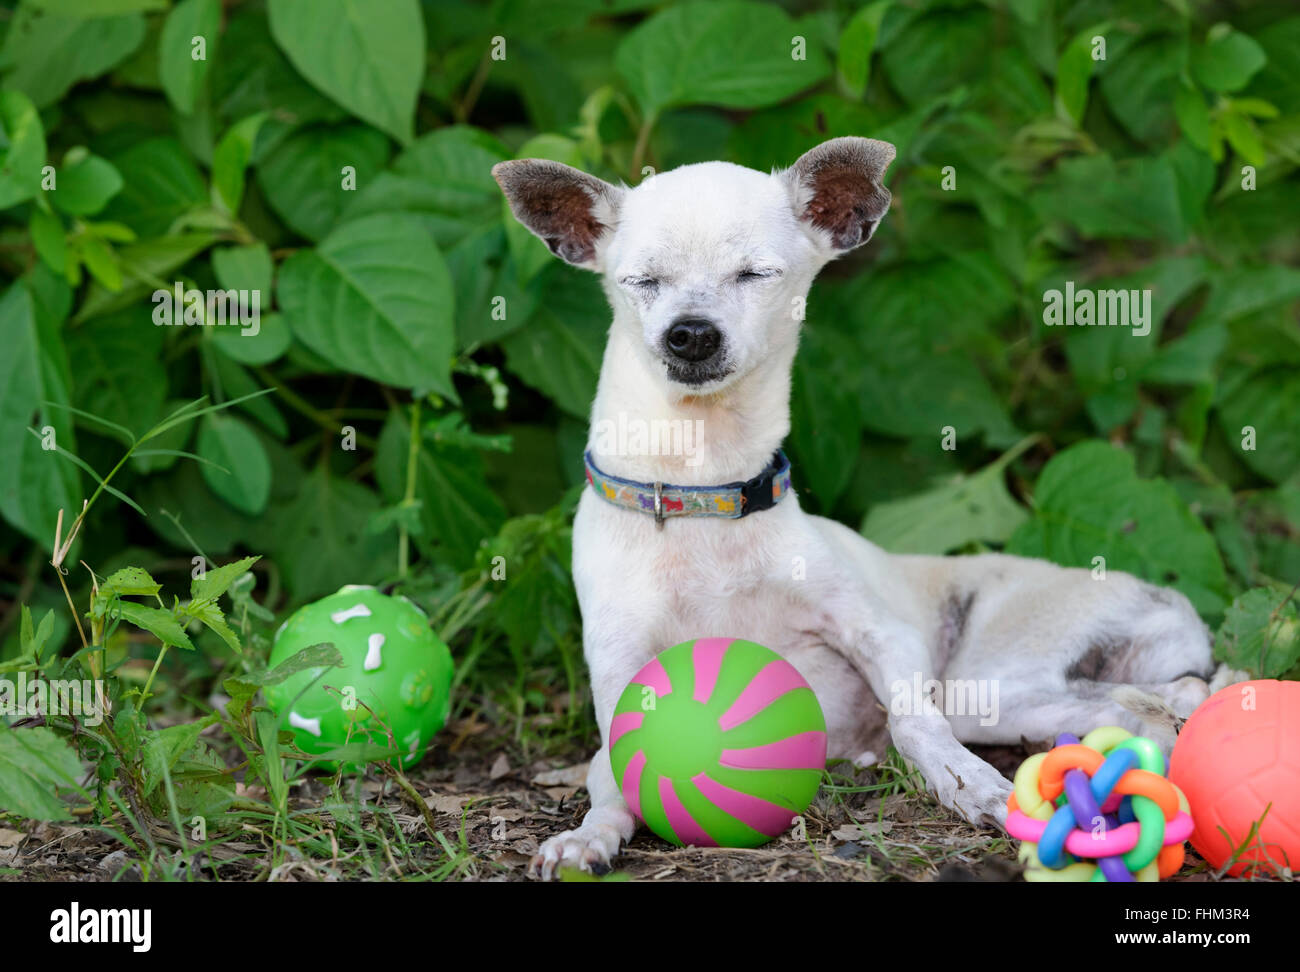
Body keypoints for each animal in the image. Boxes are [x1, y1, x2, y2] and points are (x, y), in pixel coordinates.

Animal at [491, 138, 1222, 878]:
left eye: (755, 274)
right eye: (641, 281)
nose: (689, 334)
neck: (705, 497)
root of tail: (1171, 601)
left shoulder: (883, 638)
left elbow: (913, 719)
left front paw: (968, 784)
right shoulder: (620, 673)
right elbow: (611, 769)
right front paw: (589, 835)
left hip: (989, 681)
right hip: (1024, 700)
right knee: (1153, 704)